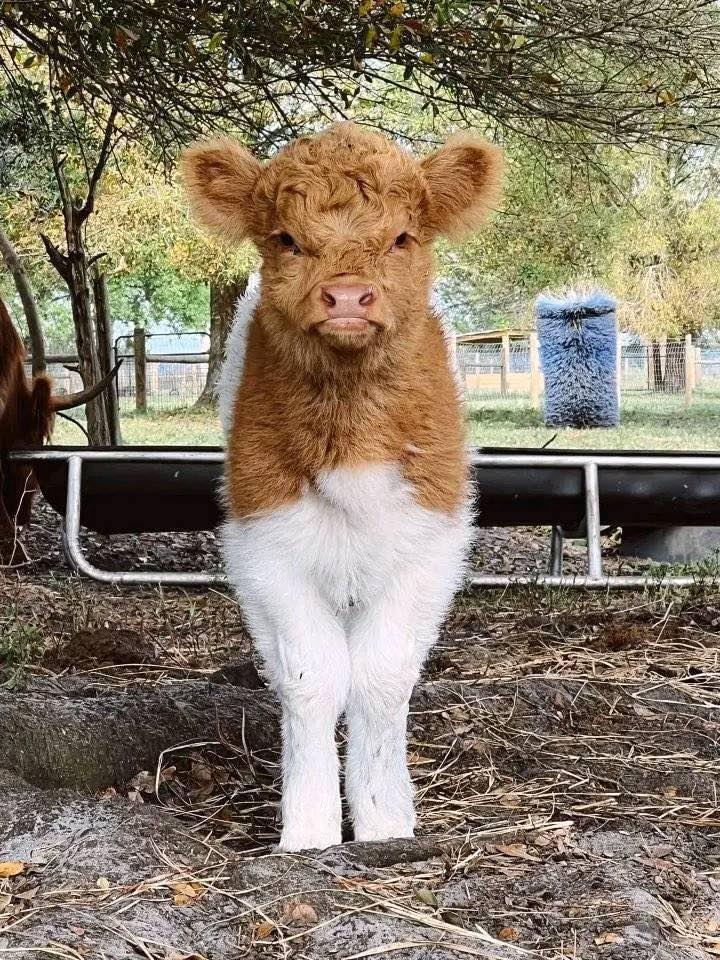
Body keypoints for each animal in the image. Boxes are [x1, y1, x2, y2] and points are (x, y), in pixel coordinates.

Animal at [181, 122, 502, 851]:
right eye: (286, 239)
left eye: (402, 238)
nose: (349, 298)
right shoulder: (264, 544)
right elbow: (312, 678)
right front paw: (310, 829)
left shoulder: (430, 543)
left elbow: (381, 679)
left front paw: (385, 819)